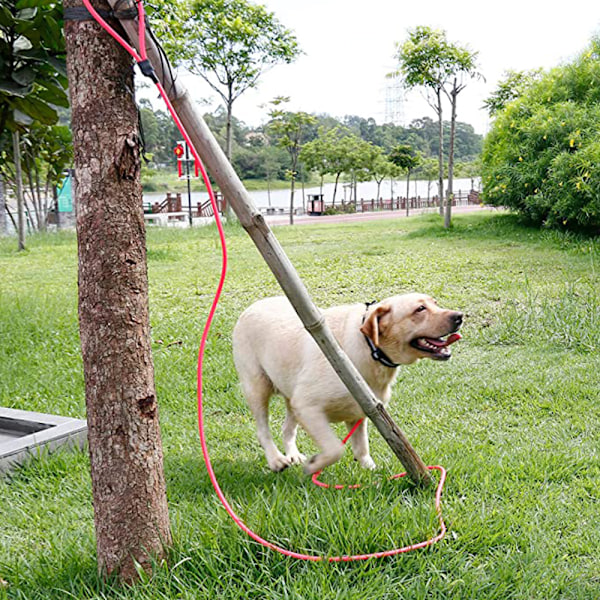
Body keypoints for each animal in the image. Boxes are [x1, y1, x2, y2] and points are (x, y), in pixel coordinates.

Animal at [232, 292, 462, 476]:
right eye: (420, 309)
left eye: (435, 303)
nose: (459, 316)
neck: (370, 349)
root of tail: (251, 306)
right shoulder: (308, 406)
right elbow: (335, 448)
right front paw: (314, 465)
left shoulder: (361, 411)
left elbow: (362, 448)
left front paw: (370, 471)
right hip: (257, 387)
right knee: (263, 430)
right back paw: (276, 460)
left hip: (291, 395)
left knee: (287, 428)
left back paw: (293, 455)